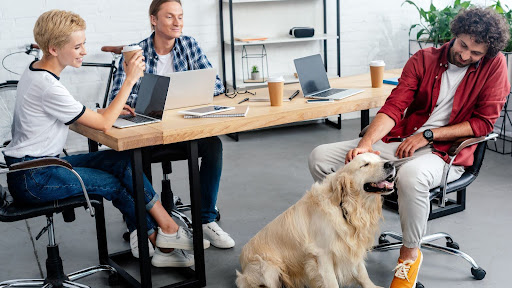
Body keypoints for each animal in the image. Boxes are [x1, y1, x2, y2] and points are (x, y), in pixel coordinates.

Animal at [236, 153, 396, 288]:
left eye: (380, 158)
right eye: (365, 165)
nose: (391, 164)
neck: (346, 207)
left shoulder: (352, 246)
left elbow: (362, 273)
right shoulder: (322, 255)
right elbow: (331, 282)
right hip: (267, 267)